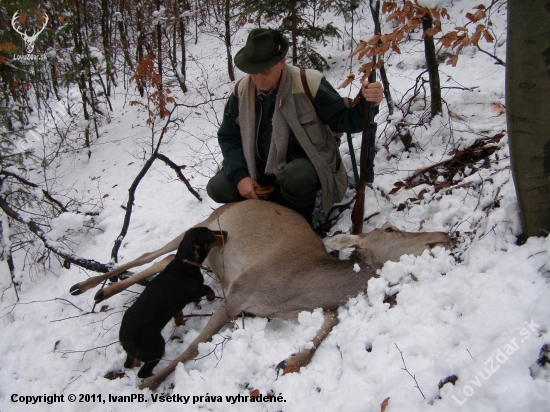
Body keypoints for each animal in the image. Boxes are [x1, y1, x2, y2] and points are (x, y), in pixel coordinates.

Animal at [118, 227, 226, 378]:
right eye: (210, 234)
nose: (226, 233)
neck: (185, 262)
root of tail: (124, 335)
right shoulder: (194, 291)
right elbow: (208, 289)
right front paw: (211, 298)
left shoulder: (176, 305)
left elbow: (178, 315)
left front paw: (181, 324)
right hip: (155, 346)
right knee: (143, 373)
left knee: (129, 362)